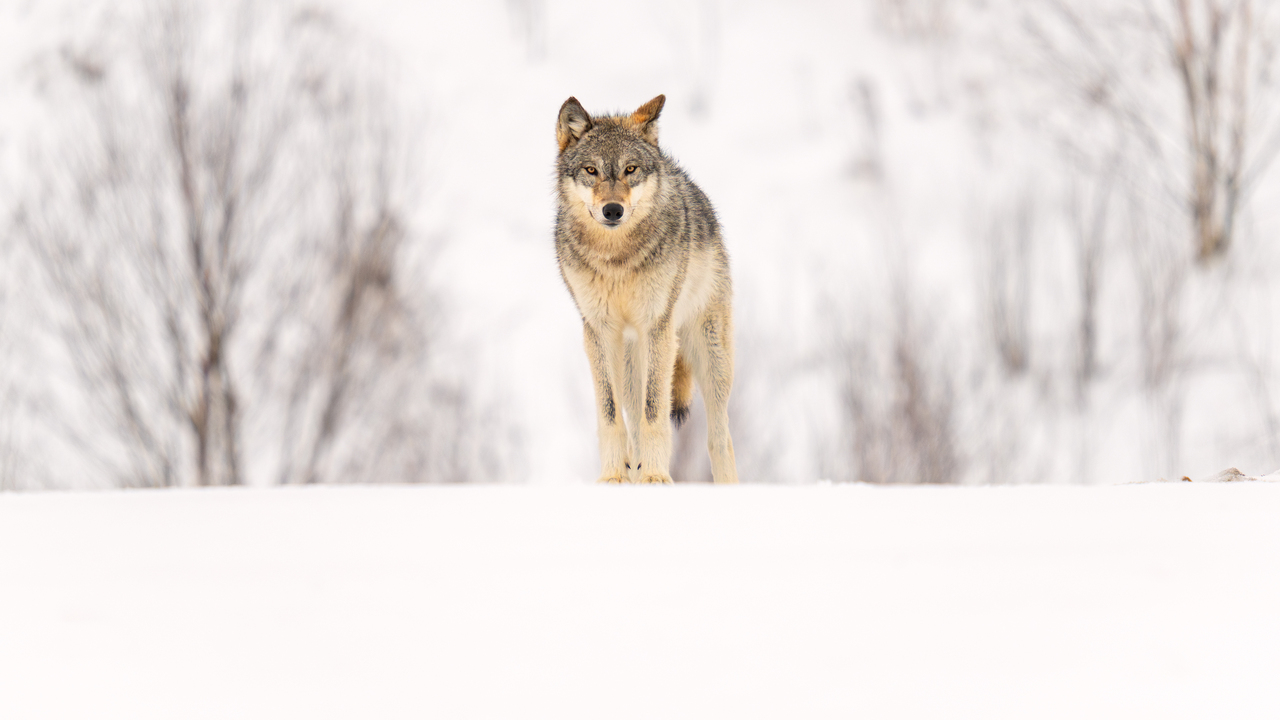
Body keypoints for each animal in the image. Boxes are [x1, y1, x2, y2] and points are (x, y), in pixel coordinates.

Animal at [554, 94, 738, 484]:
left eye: (630, 169)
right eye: (591, 170)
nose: (612, 210)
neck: (617, 258)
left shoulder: (657, 326)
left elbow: (655, 412)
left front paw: (656, 476)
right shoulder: (598, 331)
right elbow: (611, 415)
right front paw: (613, 476)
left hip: (709, 355)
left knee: (719, 437)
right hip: (630, 362)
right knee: (634, 423)